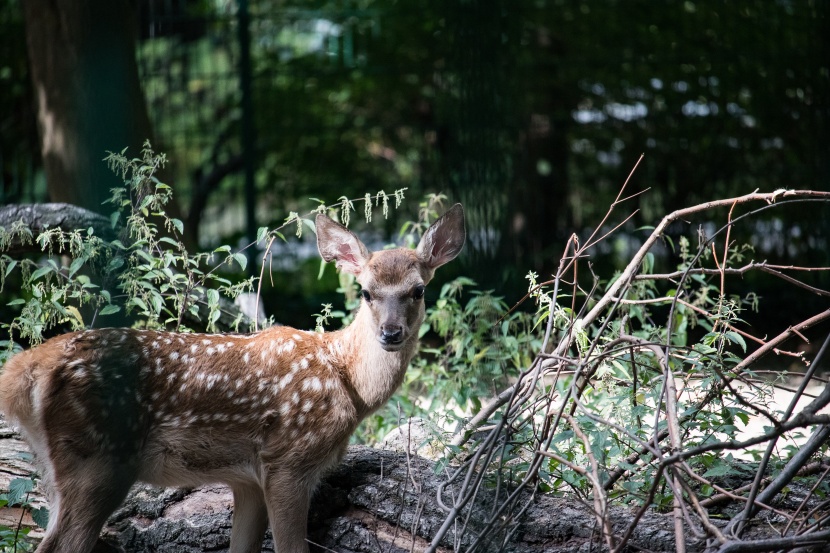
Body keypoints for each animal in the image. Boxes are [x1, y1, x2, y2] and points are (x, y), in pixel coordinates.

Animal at [0, 203, 464, 552]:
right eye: (366, 292)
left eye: (418, 290)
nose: (391, 333)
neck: (345, 377)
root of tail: (27, 366)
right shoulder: (288, 461)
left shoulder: (247, 479)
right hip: (98, 460)